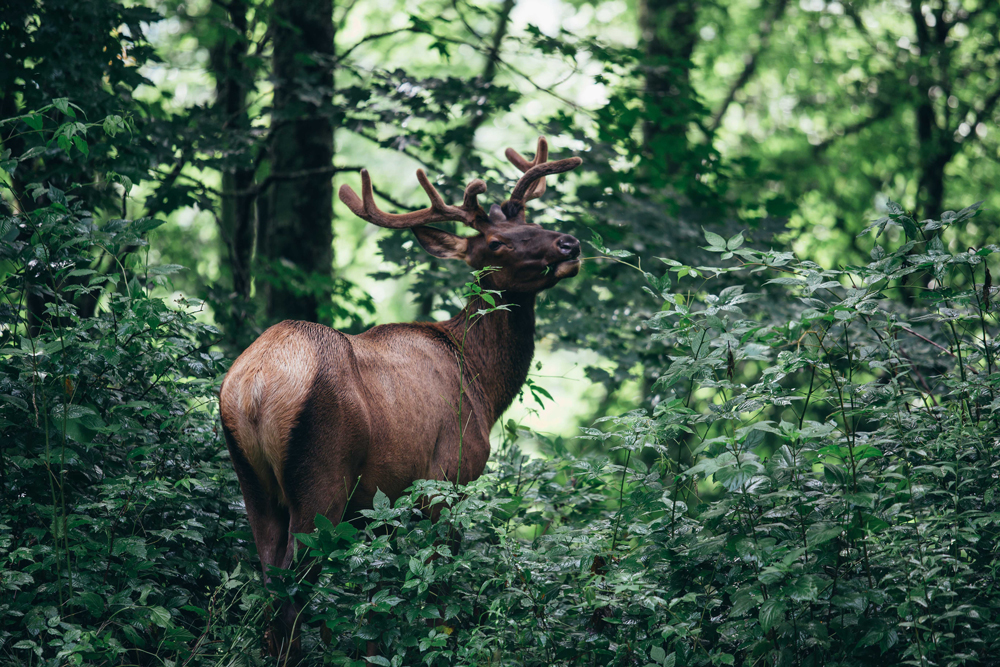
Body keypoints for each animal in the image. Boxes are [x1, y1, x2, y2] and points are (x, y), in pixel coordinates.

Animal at [219, 138, 580, 660]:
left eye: (531, 222)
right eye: (496, 243)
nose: (569, 244)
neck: (483, 385)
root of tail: (255, 387)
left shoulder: (385, 506)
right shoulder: (447, 479)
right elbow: (437, 593)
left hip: (253, 480)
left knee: (268, 575)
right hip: (322, 473)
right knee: (293, 583)